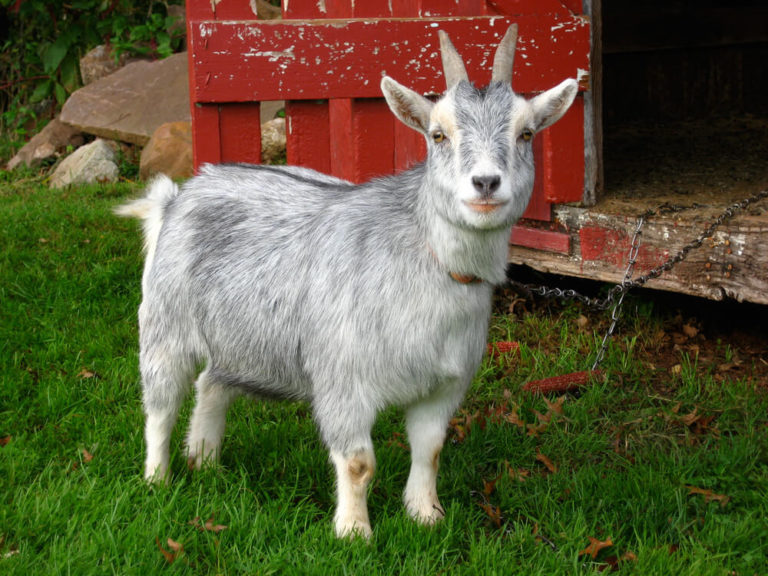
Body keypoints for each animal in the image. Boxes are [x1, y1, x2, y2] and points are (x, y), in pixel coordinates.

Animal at [118, 25, 576, 540]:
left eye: (526, 133)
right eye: (438, 134)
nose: (486, 183)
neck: (425, 262)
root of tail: (178, 197)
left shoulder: (444, 385)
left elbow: (430, 450)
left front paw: (426, 516)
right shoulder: (344, 381)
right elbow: (358, 463)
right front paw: (355, 534)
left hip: (242, 339)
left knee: (213, 382)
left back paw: (205, 461)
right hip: (165, 324)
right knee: (160, 404)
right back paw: (157, 479)